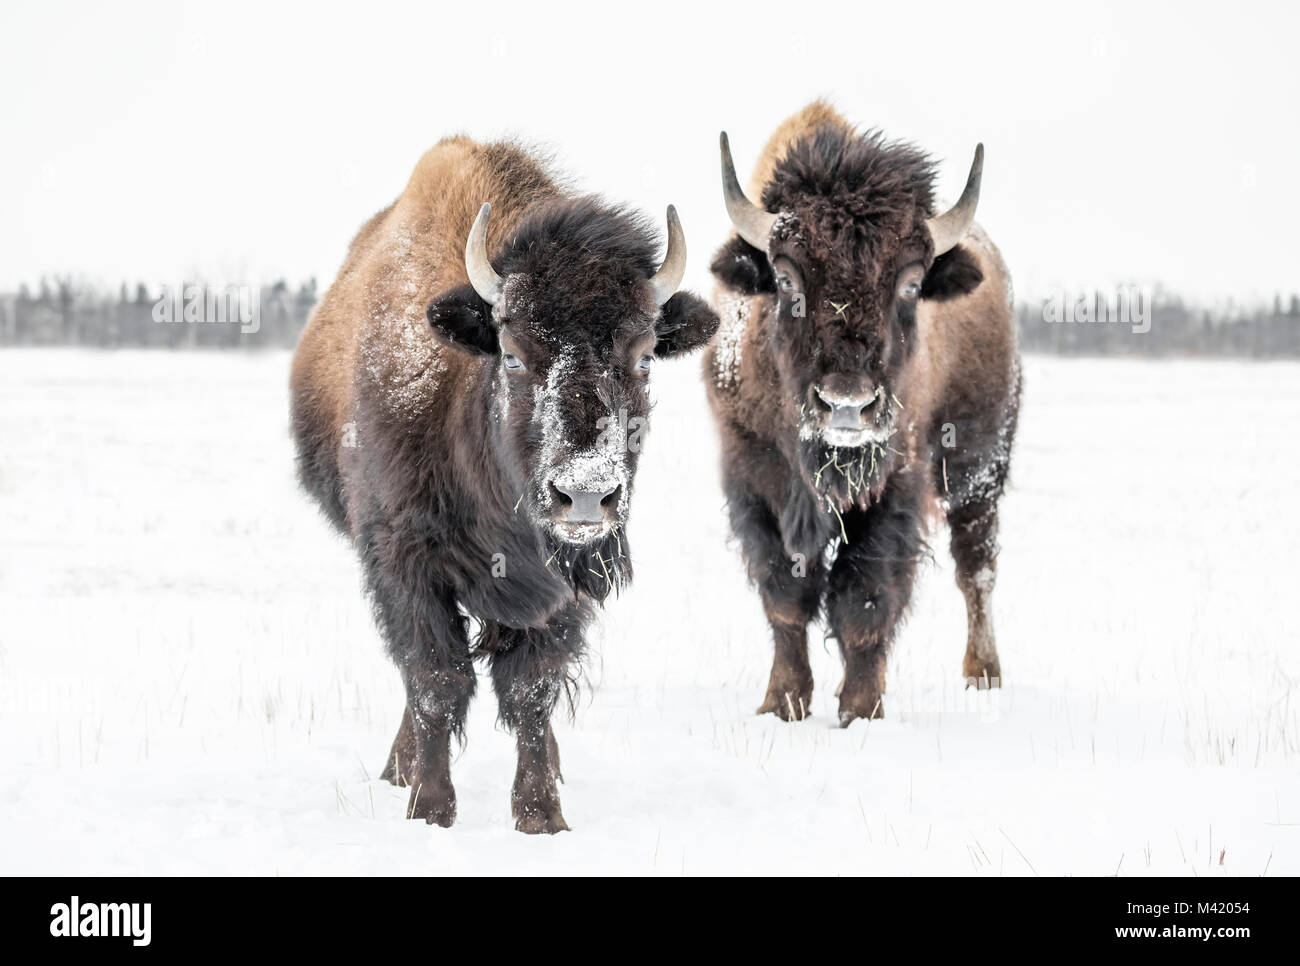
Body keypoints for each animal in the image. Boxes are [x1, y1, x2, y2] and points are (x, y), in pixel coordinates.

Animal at [289, 135, 717, 832]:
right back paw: (399, 769)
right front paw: (431, 809)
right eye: (513, 355)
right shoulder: (405, 564)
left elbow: (531, 689)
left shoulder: (562, 587)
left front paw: (542, 815)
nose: (585, 494)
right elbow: (436, 682)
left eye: (646, 357)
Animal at [707, 104, 1019, 728]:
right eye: (785, 278)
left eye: (912, 282)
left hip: (979, 469)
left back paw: (984, 672)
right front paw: (782, 702)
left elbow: (865, 596)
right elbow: (785, 595)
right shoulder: (752, 483)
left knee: (976, 567)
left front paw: (859, 709)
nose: (846, 403)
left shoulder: (896, 488)